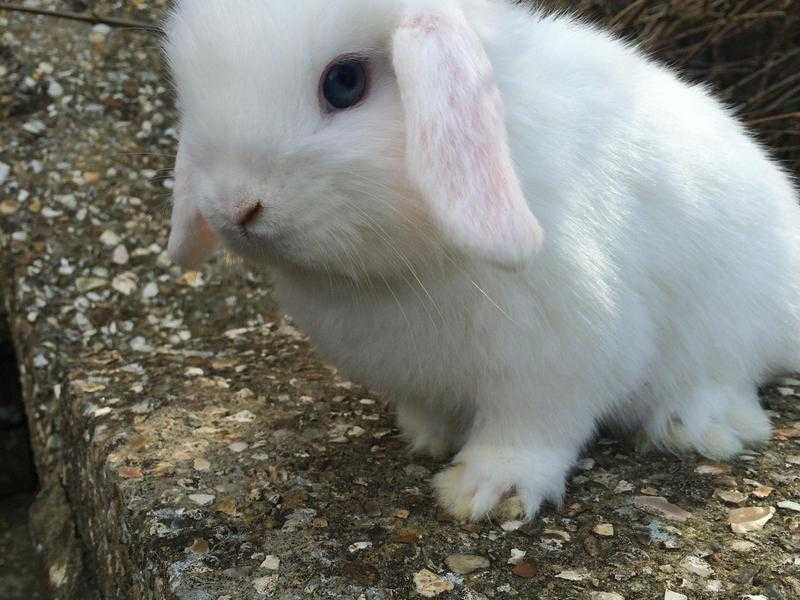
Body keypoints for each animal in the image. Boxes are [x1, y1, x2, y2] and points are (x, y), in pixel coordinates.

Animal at [162, 0, 800, 520]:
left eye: (344, 82)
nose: (234, 208)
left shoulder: (559, 359)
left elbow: (531, 431)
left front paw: (485, 492)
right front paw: (426, 438)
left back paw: (693, 426)